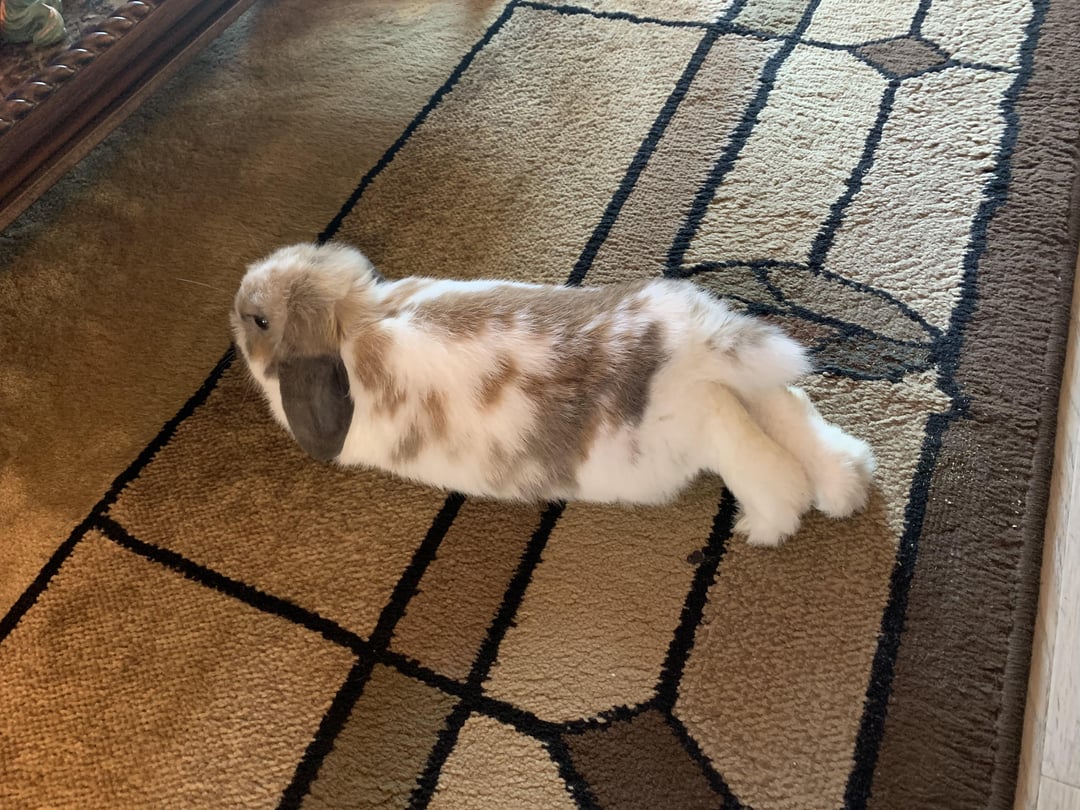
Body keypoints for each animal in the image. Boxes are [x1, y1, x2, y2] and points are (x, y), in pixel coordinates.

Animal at [231, 242, 876, 546]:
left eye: (259, 321)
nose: (234, 300)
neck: (356, 321)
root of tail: (691, 344)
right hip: (750, 386)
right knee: (786, 410)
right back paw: (846, 483)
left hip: (691, 423)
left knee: (746, 443)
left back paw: (770, 523)